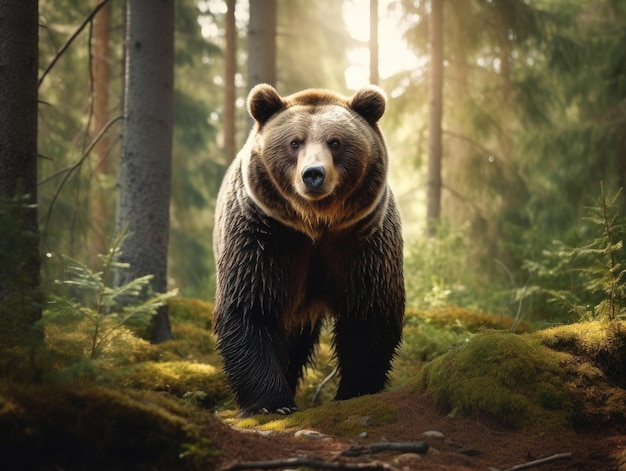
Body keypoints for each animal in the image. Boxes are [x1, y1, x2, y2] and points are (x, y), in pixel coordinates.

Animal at [212, 85, 402, 416]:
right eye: (295, 142)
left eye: (335, 141)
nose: (313, 174)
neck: (315, 223)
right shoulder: (264, 235)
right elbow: (251, 307)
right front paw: (272, 403)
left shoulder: (361, 240)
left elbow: (369, 312)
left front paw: (355, 391)